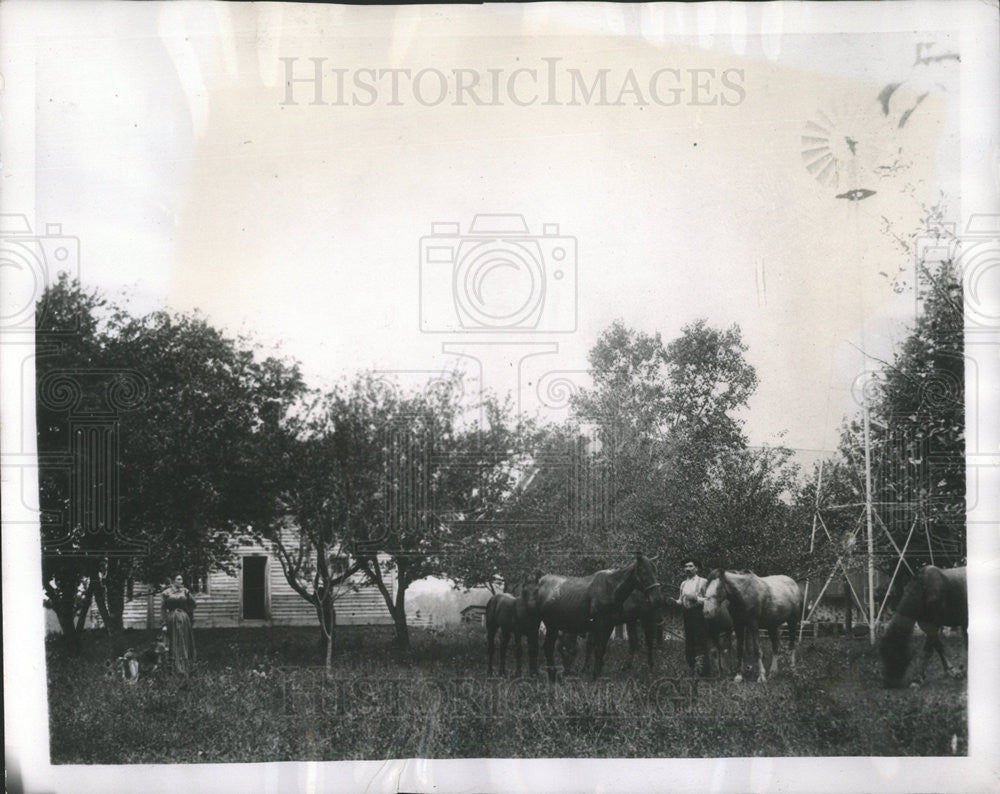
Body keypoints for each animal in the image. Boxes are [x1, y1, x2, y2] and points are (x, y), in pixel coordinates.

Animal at [532, 552, 664, 680]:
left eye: (656, 571)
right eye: (644, 572)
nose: (657, 599)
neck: (611, 589)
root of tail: (540, 581)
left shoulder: (608, 625)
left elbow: (599, 649)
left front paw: (596, 673)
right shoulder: (598, 625)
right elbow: (595, 647)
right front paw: (593, 673)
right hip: (548, 624)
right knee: (546, 647)